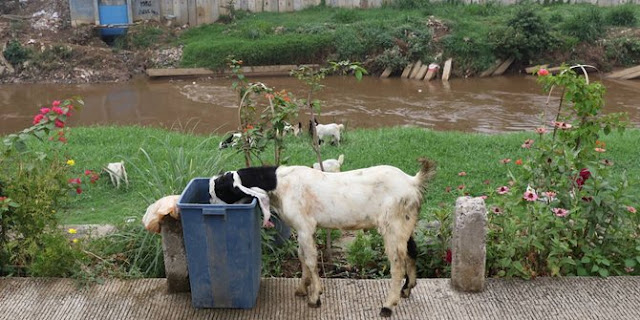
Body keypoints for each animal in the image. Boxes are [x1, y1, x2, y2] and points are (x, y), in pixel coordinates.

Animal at [209, 158, 436, 316]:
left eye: (217, 191)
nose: (210, 205)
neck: (279, 184)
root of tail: (413, 181)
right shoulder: (301, 229)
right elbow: (302, 257)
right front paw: (302, 289)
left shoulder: (305, 226)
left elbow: (310, 259)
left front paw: (315, 297)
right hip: (405, 223)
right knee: (412, 251)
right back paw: (407, 290)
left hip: (392, 225)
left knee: (397, 263)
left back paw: (388, 306)